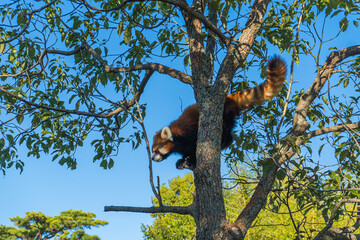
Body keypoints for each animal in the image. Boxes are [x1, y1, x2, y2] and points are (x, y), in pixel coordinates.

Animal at [152, 56, 286, 170]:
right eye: (152, 151)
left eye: (156, 150)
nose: (152, 158)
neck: (178, 136)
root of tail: (228, 98)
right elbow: (186, 151)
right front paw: (182, 161)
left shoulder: (190, 133)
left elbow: (194, 148)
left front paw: (191, 160)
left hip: (224, 115)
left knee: (226, 133)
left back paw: (223, 143)